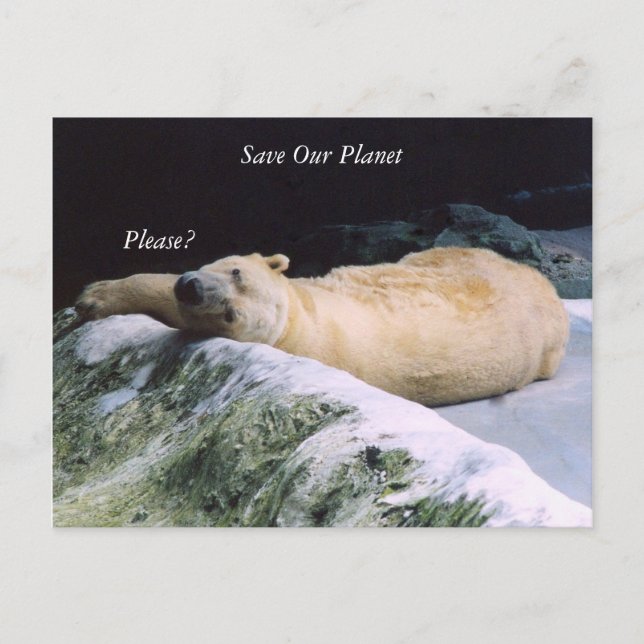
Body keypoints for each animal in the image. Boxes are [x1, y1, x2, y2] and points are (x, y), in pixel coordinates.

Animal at [75, 247, 569, 406]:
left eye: (231, 313)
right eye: (235, 270)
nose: (192, 288)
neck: (298, 319)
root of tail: (547, 288)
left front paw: (95, 297)